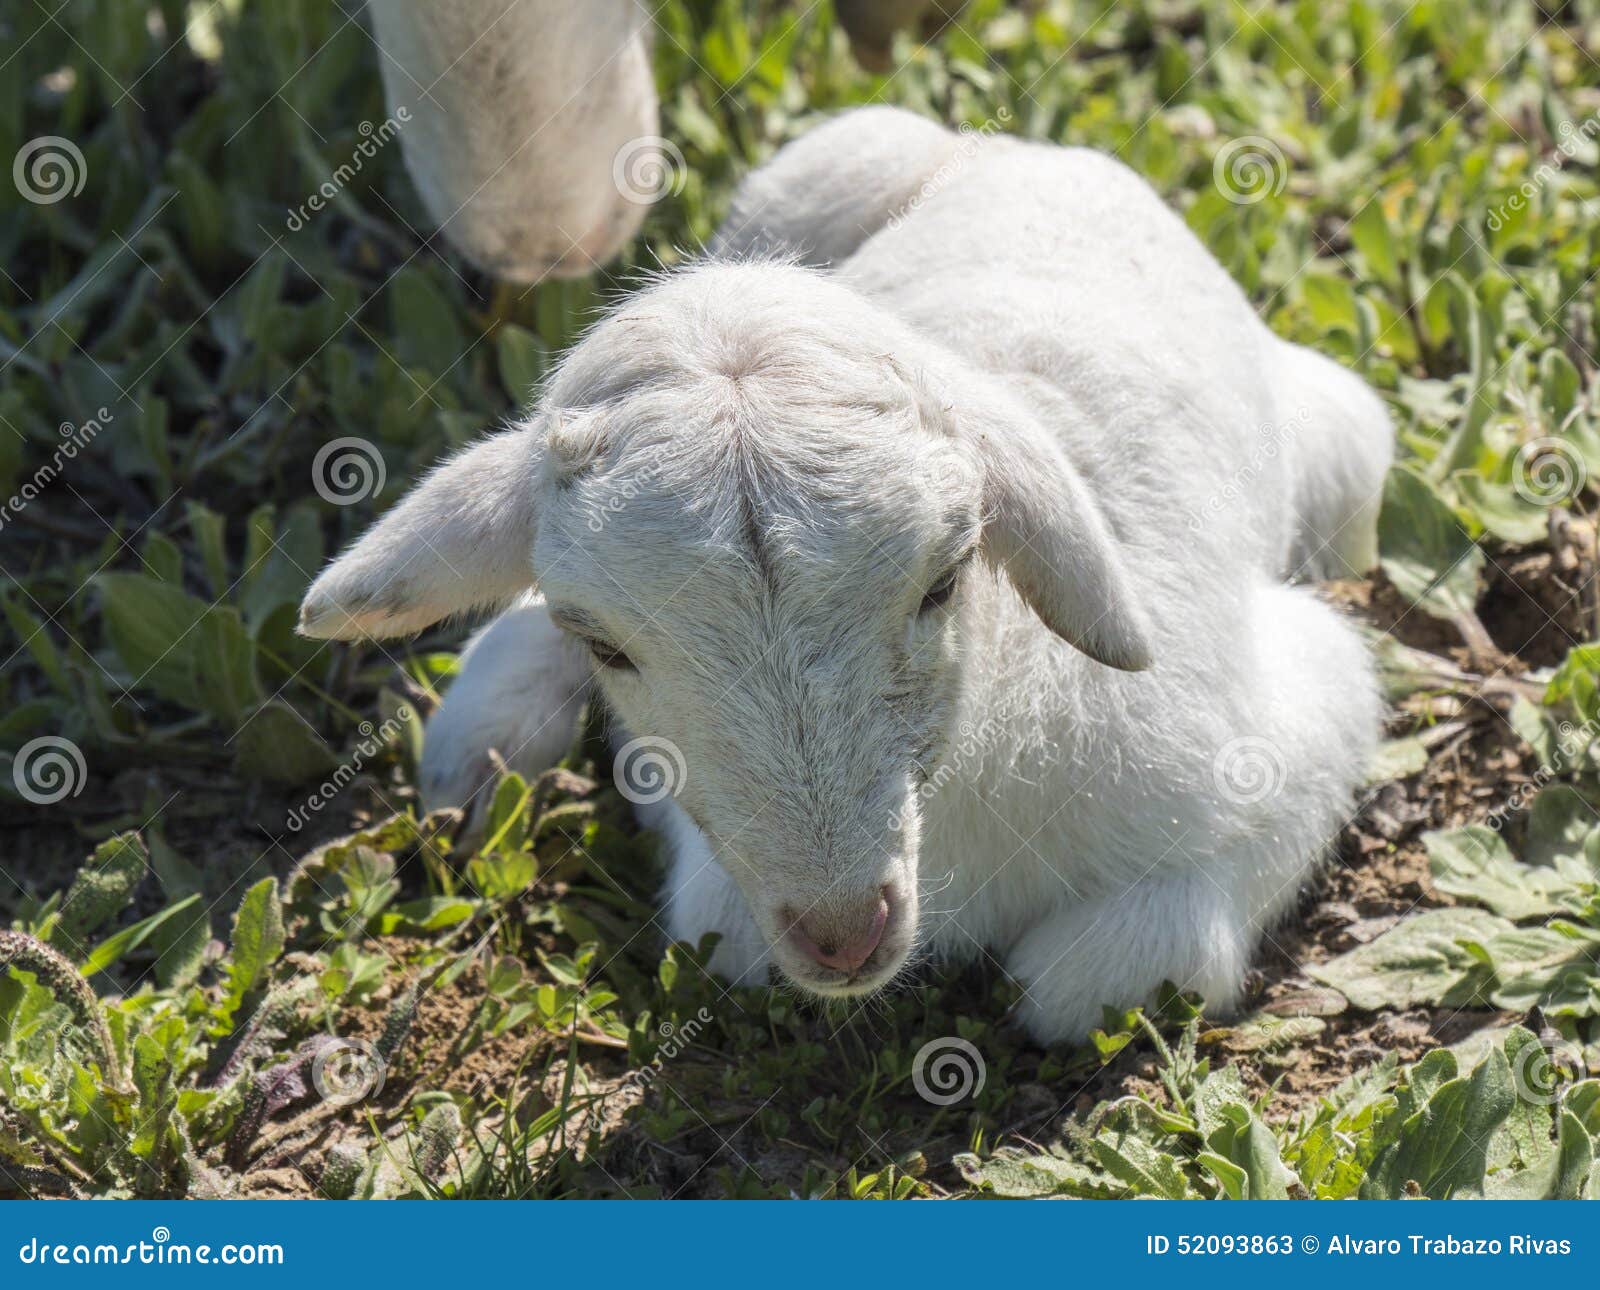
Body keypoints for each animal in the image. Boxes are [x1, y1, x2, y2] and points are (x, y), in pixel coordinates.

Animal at [299, 106, 1392, 1043]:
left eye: (944, 581)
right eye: (606, 643)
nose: (840, 932)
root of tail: (1022, 155)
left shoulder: (1279, 719)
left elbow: (1093, 979)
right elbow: (728, 934)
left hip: (1340, 461)